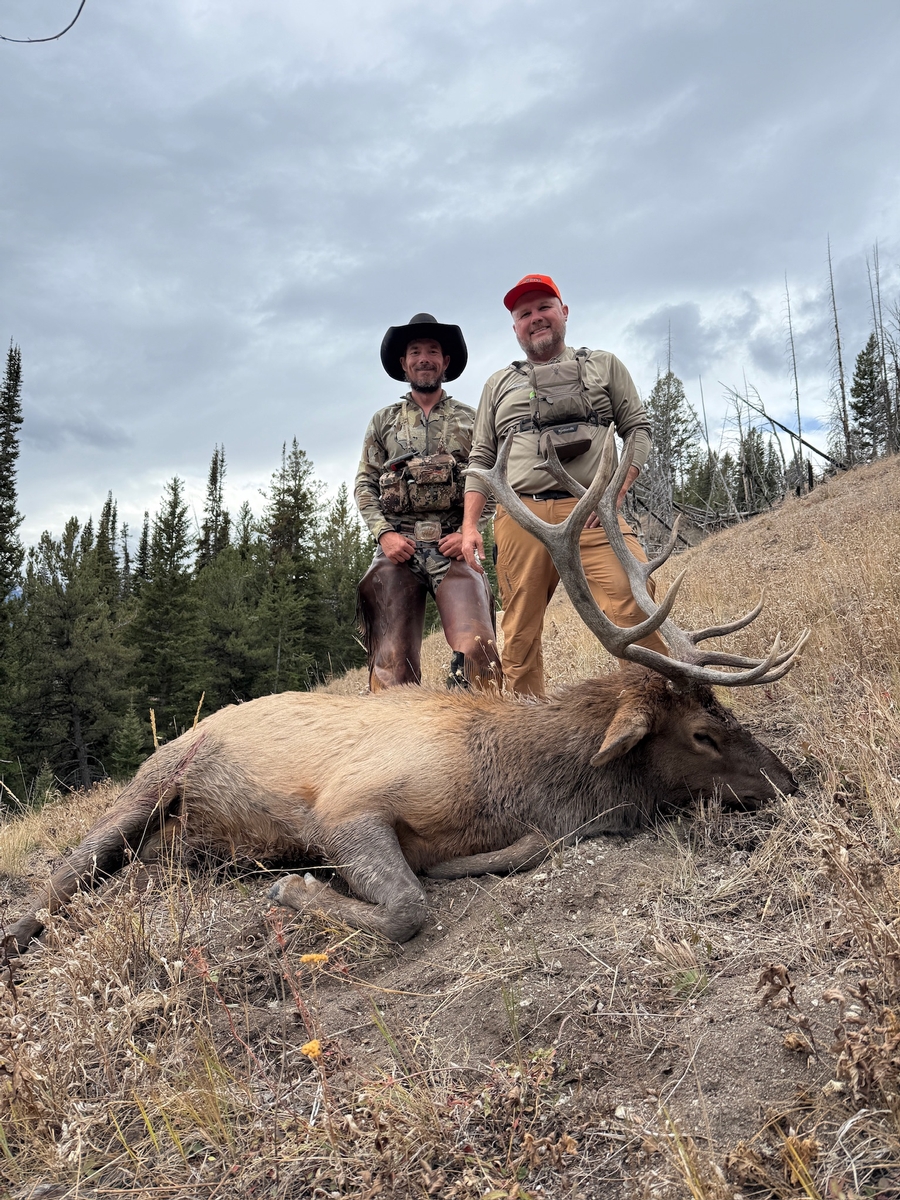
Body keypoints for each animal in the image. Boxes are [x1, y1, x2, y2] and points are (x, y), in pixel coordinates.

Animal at [4, 430, 808, 951]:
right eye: (702, 733)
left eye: (726, 712)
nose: (791, 779)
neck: (511, 782)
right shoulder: (347, 806)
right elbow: (407, 909)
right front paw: (297, 890)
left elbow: (514, 854)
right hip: (152, 780)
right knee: (64, 874)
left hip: (180, 843)